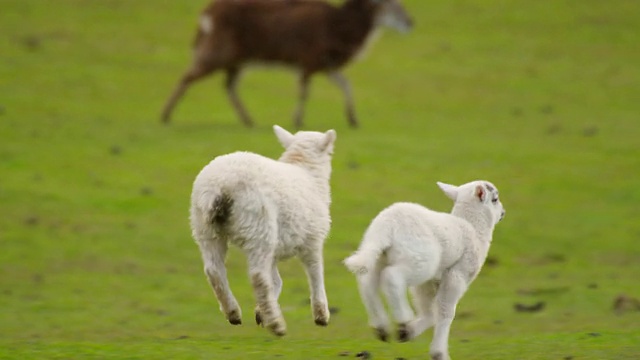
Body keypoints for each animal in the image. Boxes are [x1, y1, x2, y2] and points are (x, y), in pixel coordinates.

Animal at [190, 125, 338, 336]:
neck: (305, 170)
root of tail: (220, 187)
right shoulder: (313, 239)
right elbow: (315, 272)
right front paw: (321, 314)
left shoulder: (275, 251)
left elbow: (276, 281)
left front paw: (260, 312)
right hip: (259, 226)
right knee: (258, 275)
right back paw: (276, 324)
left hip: (205, 227)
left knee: (213, 270)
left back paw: (233, 312)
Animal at [344, 180, 504, 360]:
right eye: (495, 199)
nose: (503, 213)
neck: (473, 227)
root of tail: (387, 225)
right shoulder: (458, 274)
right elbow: (445, 311)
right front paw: (439, 352)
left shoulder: (429, 281)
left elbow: (429, 310)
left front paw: (410, 332)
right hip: (420, 259)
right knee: (392, 277)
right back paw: (403, 319)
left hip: (379, 255)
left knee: (367, 282)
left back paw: (382, 327)